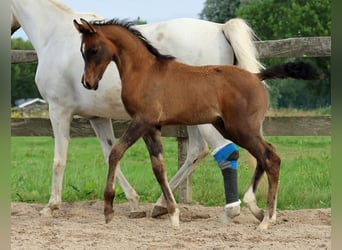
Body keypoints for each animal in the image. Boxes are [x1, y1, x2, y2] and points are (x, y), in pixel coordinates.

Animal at [10, 0, 262, 221]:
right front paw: (133, 202)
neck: (54, 35)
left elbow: (59, 160)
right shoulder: (98, 118)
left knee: (224, 151)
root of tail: (221, 29)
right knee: (198, 151)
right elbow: (110, 153)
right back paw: (161, 205)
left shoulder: (58, 111)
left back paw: (233, 209)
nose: (87, 83)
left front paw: (51, 207)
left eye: (92, 51)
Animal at [73, 18, 320, 229]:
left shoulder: (142, 121)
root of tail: (256, 76)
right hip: (232, 128)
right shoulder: (151, 127)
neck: (145, 72)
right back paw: (258, 210)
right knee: (265, 155)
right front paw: (172, 213)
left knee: (271, 158)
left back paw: (266, 219)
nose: (88, 83)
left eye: (93, 50)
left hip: (242, 129)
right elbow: (158, 167)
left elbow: (116, 152)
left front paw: (108, 210)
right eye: (82, 51)